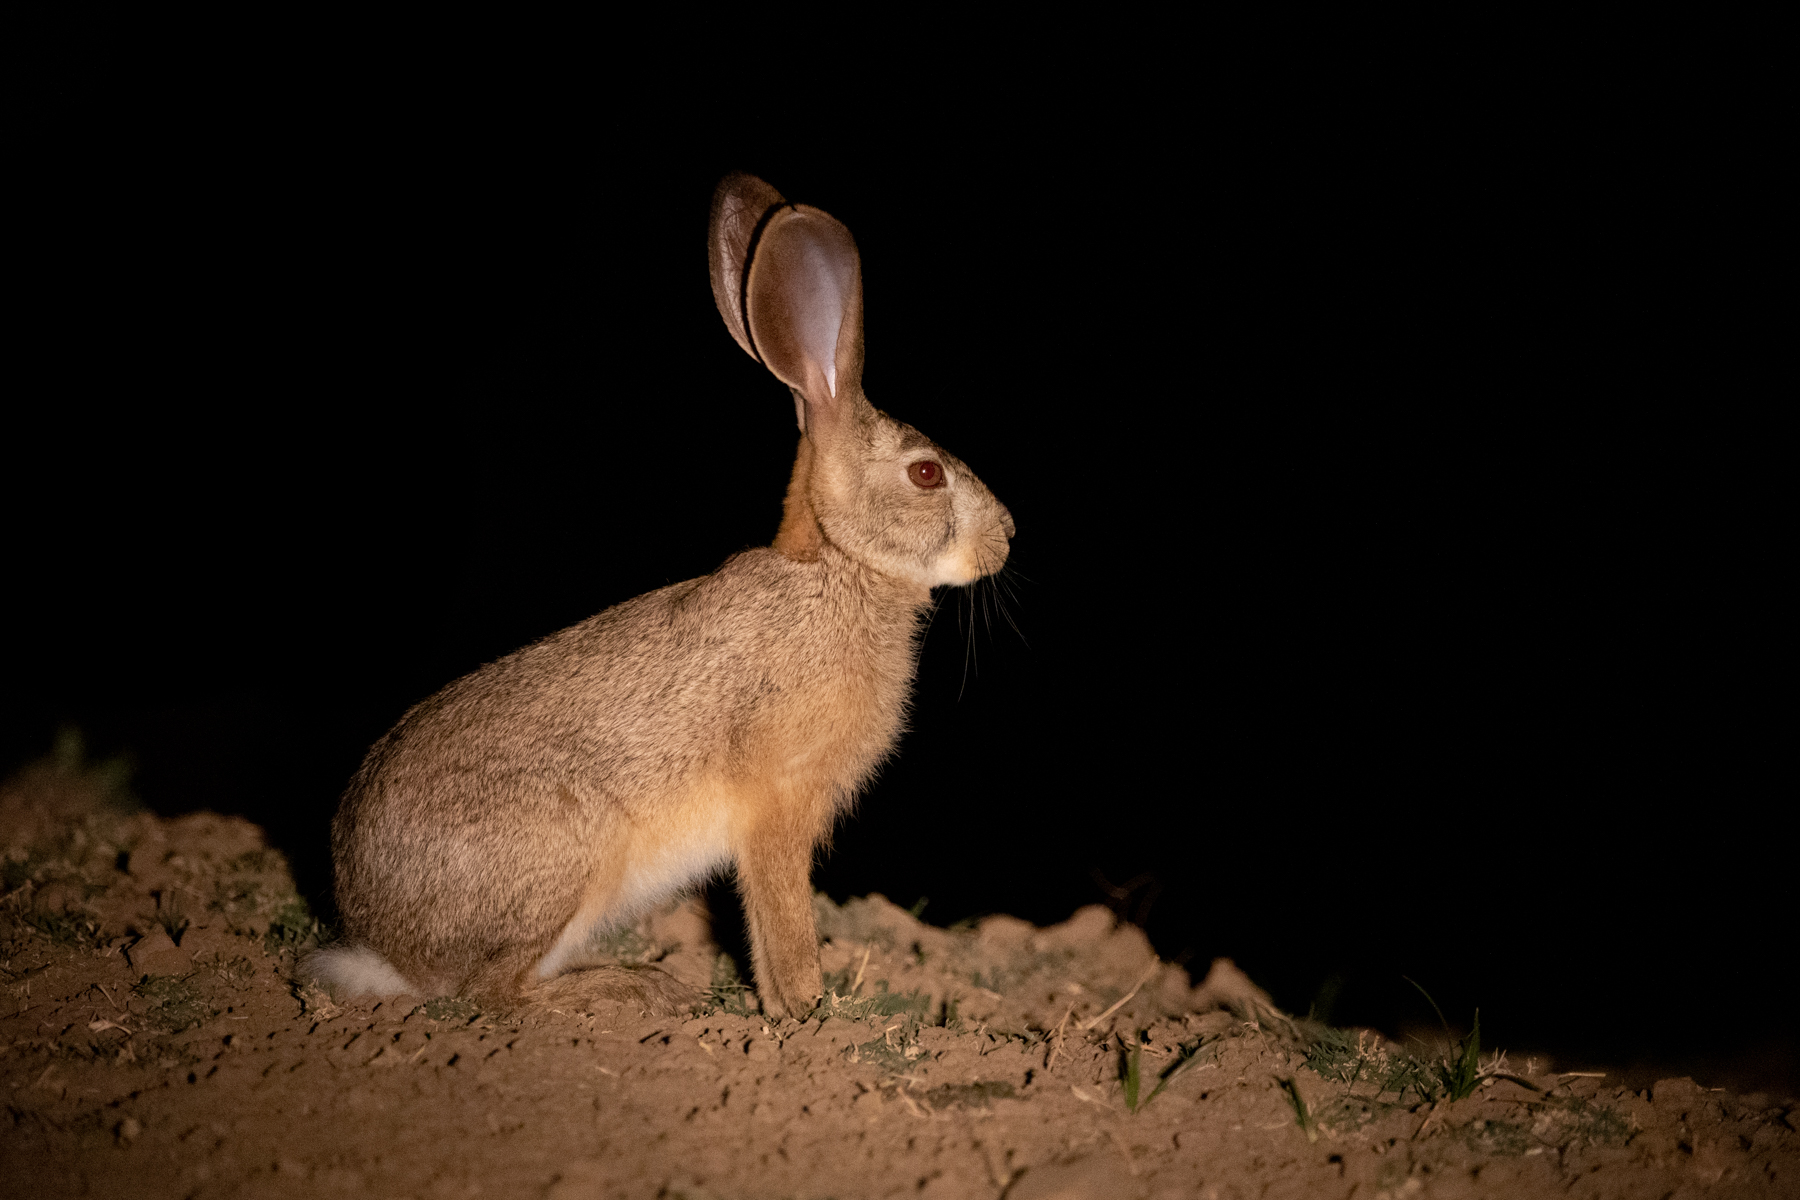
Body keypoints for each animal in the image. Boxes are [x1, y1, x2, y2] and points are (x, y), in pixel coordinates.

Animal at [304, 173, 1014, 1019]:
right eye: (927, 474)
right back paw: (634, 988)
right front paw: (806, 1012)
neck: (838, 570)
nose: (1009, 536)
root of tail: (382, 948)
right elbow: (782, 920)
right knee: (489, 991)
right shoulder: (777, 805)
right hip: (565, 853)